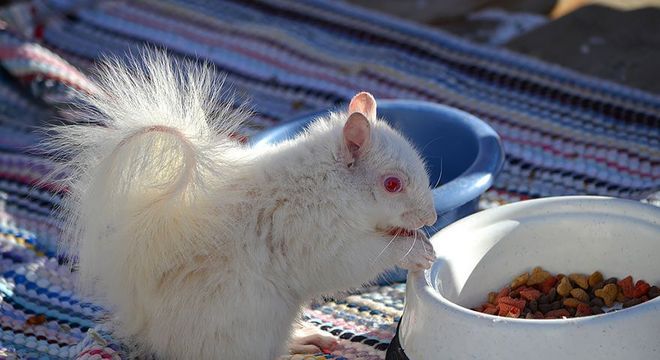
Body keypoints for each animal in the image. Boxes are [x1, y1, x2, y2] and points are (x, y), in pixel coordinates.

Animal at [49, 51, 436, 360]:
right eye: (392, 184)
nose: (430, 217)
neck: (329, 182)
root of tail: (146, 326)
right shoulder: (311, 232)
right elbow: (352, 261)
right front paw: (414, 250)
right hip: (249, 327)